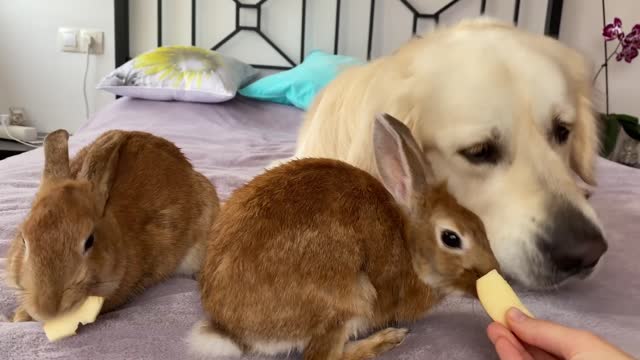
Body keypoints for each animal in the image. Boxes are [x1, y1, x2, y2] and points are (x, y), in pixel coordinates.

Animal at [190, 113, 500, 360]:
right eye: (451, 238)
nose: (492, 271)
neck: (408, 244)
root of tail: (231, 331)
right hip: (349, 300)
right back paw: (385, 340)